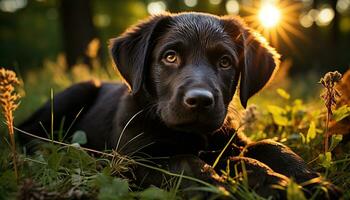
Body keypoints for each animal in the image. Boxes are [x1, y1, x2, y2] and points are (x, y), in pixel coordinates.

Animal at [18, 12, 340, 198]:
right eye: (170, 57)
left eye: (225, 62)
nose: (200, 100)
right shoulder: (137, 159)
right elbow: (183, 162)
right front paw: (216, 188)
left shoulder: (232, 142)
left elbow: (272, 146)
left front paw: (310, 183)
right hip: (75, 92)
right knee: (26, 134)